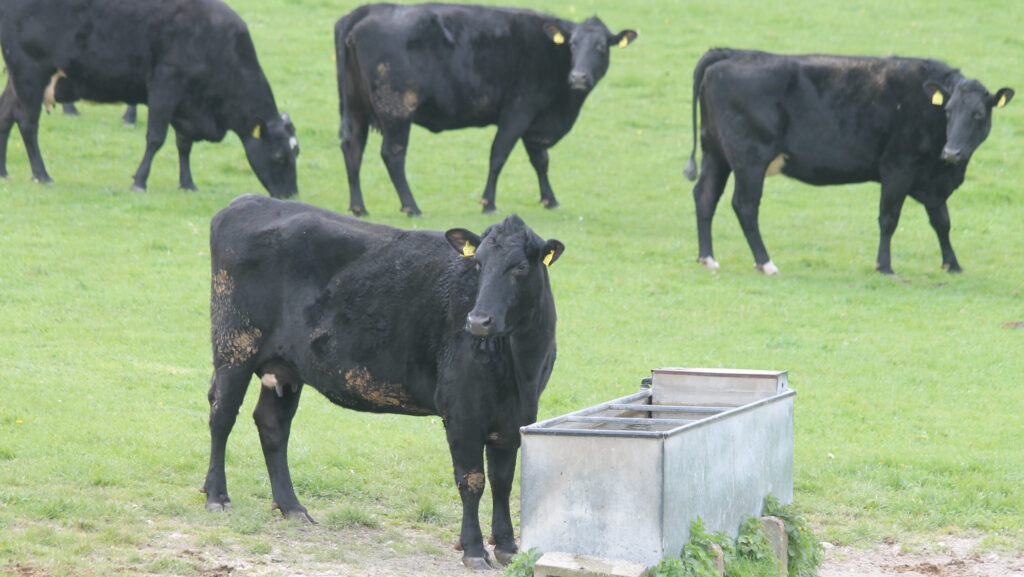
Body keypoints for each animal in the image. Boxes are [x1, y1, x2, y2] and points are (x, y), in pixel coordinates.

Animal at [0, 0, 298, 196]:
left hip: (18, 79)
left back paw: (3, 171)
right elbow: (156, 138)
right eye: (280, 155)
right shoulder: (165, 87)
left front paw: (187, 183)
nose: (292, 195)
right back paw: (42, 174)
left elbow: (184, 145)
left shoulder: (186, 104)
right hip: (30, 73)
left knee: (5, 116)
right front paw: (139, 182)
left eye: (296, 152)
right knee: (27, 124)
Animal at [202, 194, 564, 571]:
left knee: (272, 423)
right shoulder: (461, 409)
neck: (518, 367)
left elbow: (503, 479)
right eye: (477, 264)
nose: (478, 320)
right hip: (235, 345)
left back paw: (292, 507)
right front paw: (474, 550)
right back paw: (217, 496)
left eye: (520, 267)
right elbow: (472, 480)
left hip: (284, 367)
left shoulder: (515, 413)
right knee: (222, 415)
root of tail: (248, 200)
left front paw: (507, 545)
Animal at [335, 3, 636, 216]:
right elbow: (498, 155)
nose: (578, 77)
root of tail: (371, 8)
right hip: (396, 109)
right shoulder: (518, 112)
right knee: (393, 155)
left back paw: (358, 207)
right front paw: (488, 203)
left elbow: (540, 160)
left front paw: (550, 200)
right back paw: (412, 207)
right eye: (572, 45)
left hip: (356, 106)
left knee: (353, 148)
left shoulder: (534, 121)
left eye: (601, 47)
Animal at [683, 48, 1013, 275]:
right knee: (745, 206)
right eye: (948, 111)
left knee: (705, 196)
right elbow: (889, 219)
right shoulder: (898, 169)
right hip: (749, 159)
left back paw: (707, 258)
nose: (952, 152)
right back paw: (766, 263)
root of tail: (733, 53)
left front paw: (952, 264)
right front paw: (885, 266)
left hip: (716, 153)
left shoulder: (931, 178)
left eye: (978, 115)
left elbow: (942, 222)